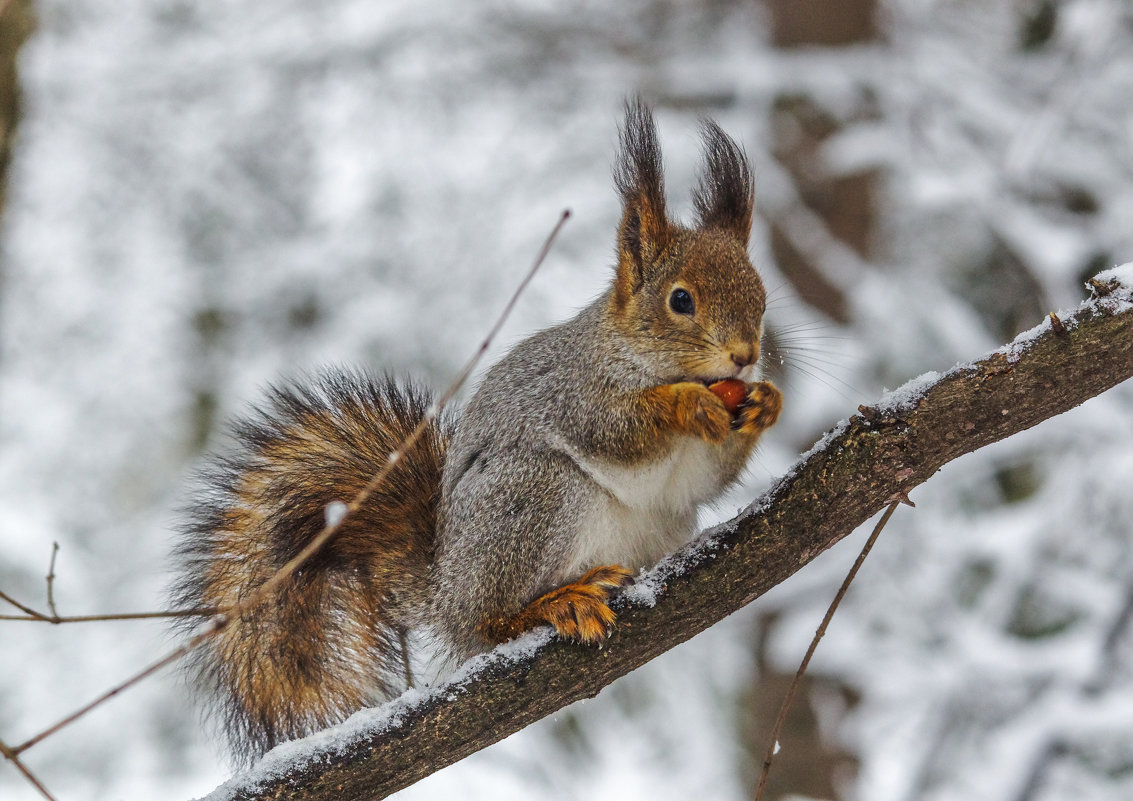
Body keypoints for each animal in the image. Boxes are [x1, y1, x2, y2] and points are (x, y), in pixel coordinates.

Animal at [172, 100, 784, 765]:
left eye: (762, 296)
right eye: (680, 301)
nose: (745, 357)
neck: (633, 353)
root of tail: (446, 589)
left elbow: (709, 477)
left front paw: (766, 403)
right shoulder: (574, 394)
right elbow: (617, 429)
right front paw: (686, 404)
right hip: (531, 495)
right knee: (490, 624)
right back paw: (554, 603)